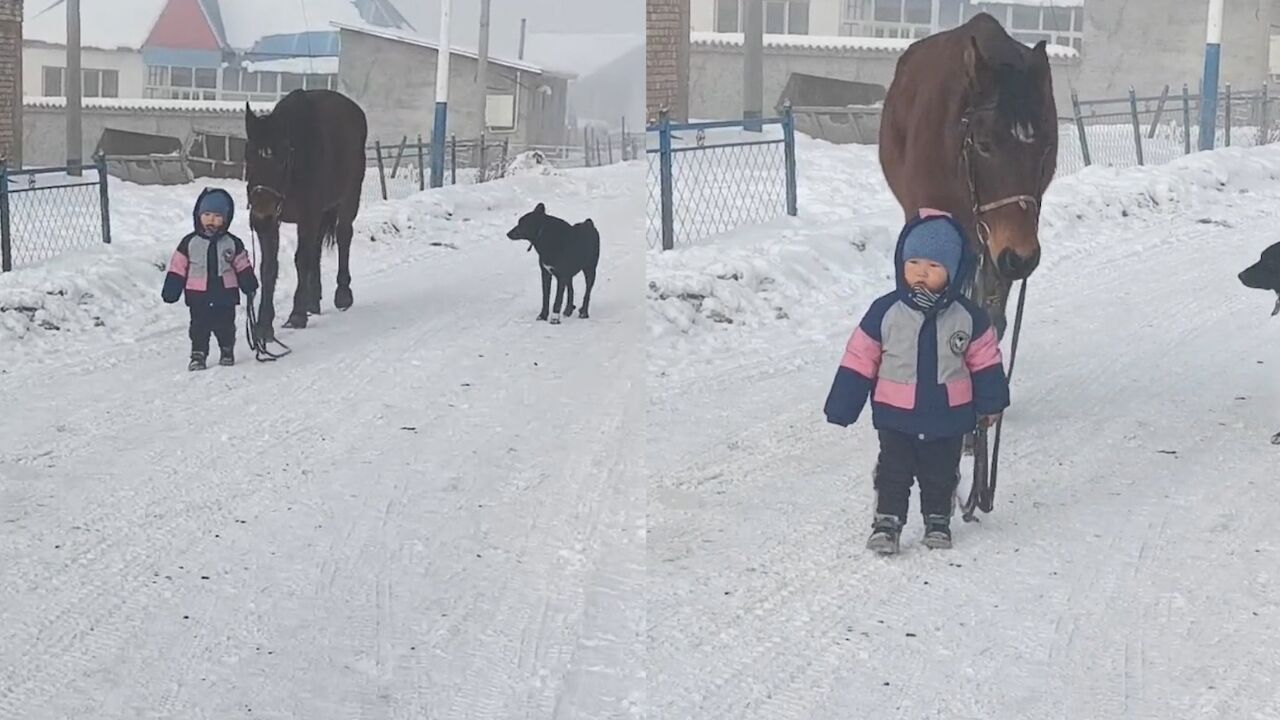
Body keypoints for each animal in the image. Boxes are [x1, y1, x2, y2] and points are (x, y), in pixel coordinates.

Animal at [243, 88, 366, 340]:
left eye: (281, 158)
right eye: (248, 155)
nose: (261, 207)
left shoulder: (308, 215)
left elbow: (301, 259)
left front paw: (296, 315)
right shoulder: (272, 222)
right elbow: (269, 267)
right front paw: (263, 325)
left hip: (349, 196)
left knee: (343, 236)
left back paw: (342, 294)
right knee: (316, 248)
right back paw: (313, 300)